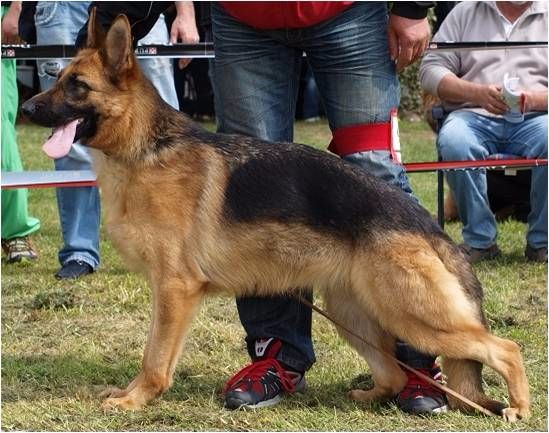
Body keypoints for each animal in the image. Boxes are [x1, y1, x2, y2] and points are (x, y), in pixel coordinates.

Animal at [23, 12, 528, 418]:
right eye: (57, 77)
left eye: (77, 86)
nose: (26, 107)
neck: (145, 148)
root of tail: (430, 229)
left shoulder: (174, 290)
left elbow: (154, 358)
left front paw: (135, 399)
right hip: (353, 313)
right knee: (395, 374)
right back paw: (371, 395)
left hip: (412, 316)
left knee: (505, 348)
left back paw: (517, 408)